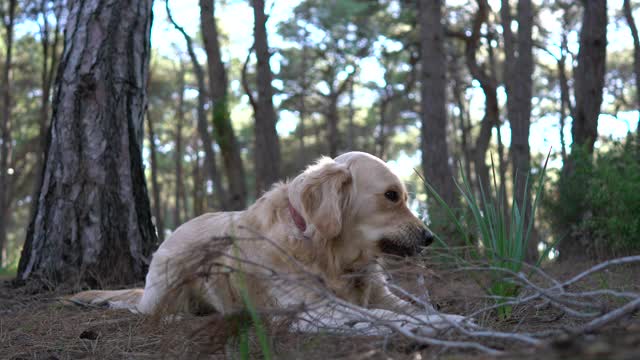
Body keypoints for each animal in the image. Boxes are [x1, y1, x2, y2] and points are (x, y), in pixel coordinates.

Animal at [71, 151, 464, 334]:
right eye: (391, 196)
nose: (430, 237)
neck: (329, 256)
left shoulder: (383, 295)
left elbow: (412, 309)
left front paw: (451, 319)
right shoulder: (314, 311)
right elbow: (381, 317)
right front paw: (450, 324)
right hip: (168, 284)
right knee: (147, 310)